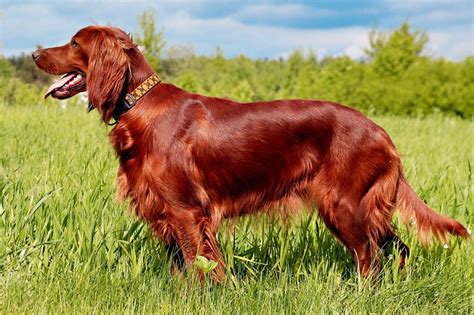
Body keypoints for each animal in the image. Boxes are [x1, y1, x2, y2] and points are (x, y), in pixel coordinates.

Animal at [31, 25, 468, 282]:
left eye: (74, 43)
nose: (34, 53)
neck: (139, 105)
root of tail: (381, 132)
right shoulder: (164, 210)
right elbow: (181, 268)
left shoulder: (185, 210)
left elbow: (199, 266)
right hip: (366, 208)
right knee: (397, 248)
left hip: (343, 205)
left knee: (370, 258)